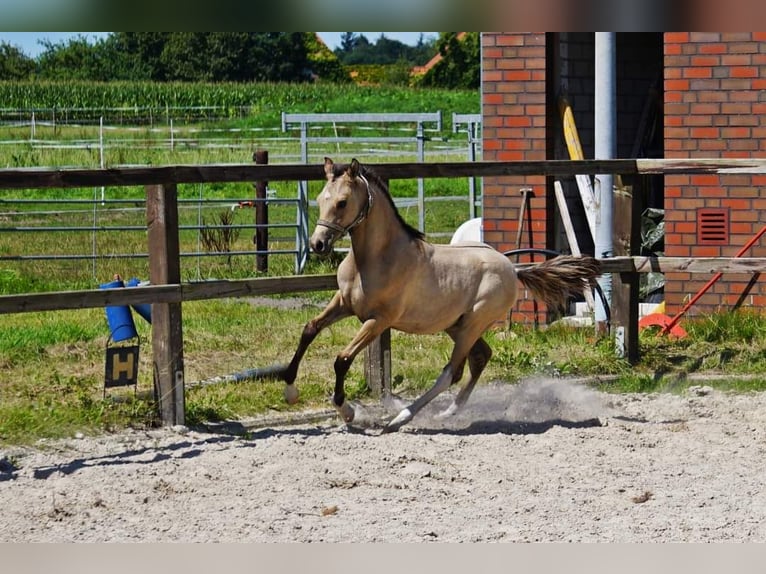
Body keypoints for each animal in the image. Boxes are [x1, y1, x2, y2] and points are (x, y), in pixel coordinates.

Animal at [272, 155, 604, 434]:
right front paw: (290, 391)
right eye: (320, 199)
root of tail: (513, 268)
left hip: (473, 324)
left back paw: (401, 417)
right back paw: (449, 412)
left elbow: (341, 359)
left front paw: (347, 411)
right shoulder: (343, 303)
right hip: (456, 325)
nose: (318, 244)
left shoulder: (378, 321)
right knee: (480, 358)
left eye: (342, 203)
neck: (377, 259)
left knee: (451, 372)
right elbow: (309, 329)